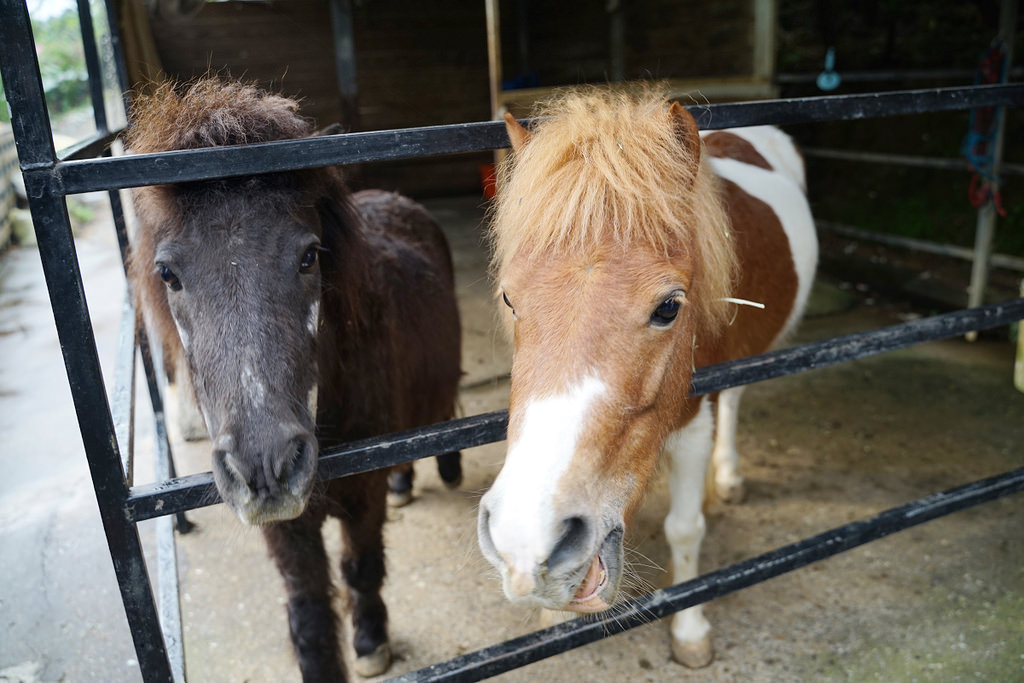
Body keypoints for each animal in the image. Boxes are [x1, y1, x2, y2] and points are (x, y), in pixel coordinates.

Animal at [126, 78, 462, 681]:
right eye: (167, 273)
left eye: (310, 256)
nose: (266, 466)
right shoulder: (285, 528)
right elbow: (306, 606)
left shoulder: (361, 495)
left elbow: (360, 567)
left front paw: (371, 642)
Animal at [477, 88, 818, 667]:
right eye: (510, 298)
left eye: (668, 307)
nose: (525, 541)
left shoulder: (693, 423)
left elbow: (685, 529)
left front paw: (690, 630)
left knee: (735, 400)